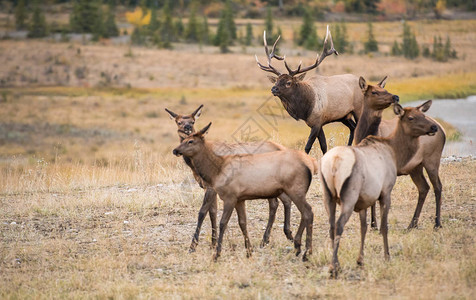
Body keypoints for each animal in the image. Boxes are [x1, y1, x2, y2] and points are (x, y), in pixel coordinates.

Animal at [166, 105, 294, 253]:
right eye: (179, 122)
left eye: (192, 121)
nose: (187, 128)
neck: (195, 166)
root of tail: (282, 148)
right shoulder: (209, 187)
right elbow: (213, 212)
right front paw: (213, 243)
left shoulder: (211, 187)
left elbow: (202, 212)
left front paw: (193, 245)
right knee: (279, 202)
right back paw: (271, 238)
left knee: (279, 202)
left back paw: (276, 236)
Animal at [173, 123, 318, 262]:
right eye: (182, 139)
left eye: (190, 141)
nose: (175, 150)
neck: (216, 171)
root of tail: (311, 164)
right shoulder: (239, 199)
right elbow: (242, 222)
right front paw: (249, 251)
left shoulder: (230, 196)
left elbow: (222, 222)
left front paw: (216, 254)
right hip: (291, 191)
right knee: (302, 211)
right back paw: (297, 246)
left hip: (295, 189)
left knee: (307, 212)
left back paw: (306, 252)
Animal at [256, 25, 364, 155]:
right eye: (276, 81)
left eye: (288, 83)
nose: (274, 89)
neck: (305, 109)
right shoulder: (318, 123)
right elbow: (324, 146)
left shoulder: (317, 122)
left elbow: (308, 146)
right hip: (344, 116)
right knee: (353, 128)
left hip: (358, 109)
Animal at [320, 101, 438, 278]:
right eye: (411, 117)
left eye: (423, 115)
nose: (434, 127)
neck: (395, 153)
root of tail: (334, 163)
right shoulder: (386, 191)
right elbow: (384, 226)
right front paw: (387, 256)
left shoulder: (362, 201)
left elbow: (363, 228)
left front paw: (360, 260)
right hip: (349, 196)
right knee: (339, 225)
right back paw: (335, 267)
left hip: (328, 196)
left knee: (332, 226)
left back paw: (334, 264)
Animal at [356, 78, 446, 230]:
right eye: (374, 92)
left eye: (385, 90)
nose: (395, 97)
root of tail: (442, 128)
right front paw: (373, 224)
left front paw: (376, 224)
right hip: (415, 167)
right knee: (424, 188)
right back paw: (413, 224)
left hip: (432, 160)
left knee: (437, 186)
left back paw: (437, 223)